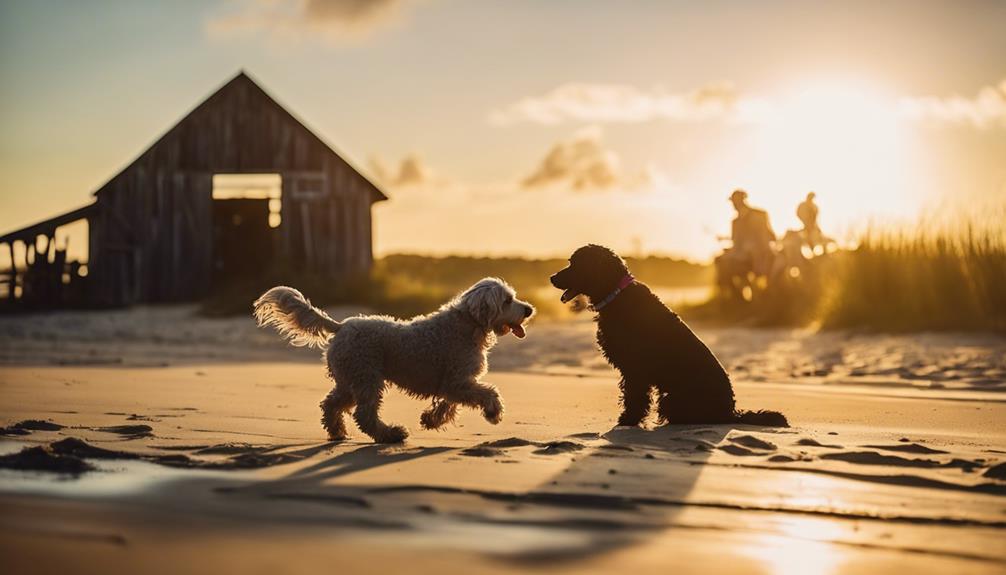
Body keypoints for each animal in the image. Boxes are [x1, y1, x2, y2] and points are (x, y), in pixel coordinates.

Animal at [253, 279, 535, 444]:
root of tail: (341, 326)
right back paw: (390, 434)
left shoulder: (454, 382)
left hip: (350, 380)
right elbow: (487, 393)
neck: (468, 324)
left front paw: (432, 419)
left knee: (331, 405)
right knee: (364, 414)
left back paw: (337, 432)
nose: (529, 310)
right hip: (366, 378)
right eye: (507, 300)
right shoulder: (457, 381)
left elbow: (449, 403)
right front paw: (493, 412)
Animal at [551, 242, 784, 426]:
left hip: (672, 398)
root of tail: (730, 413)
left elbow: (634, 397)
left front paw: (628, 420)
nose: (552, 277)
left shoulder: (635, 369)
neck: (617, 294)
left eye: (574, 264)